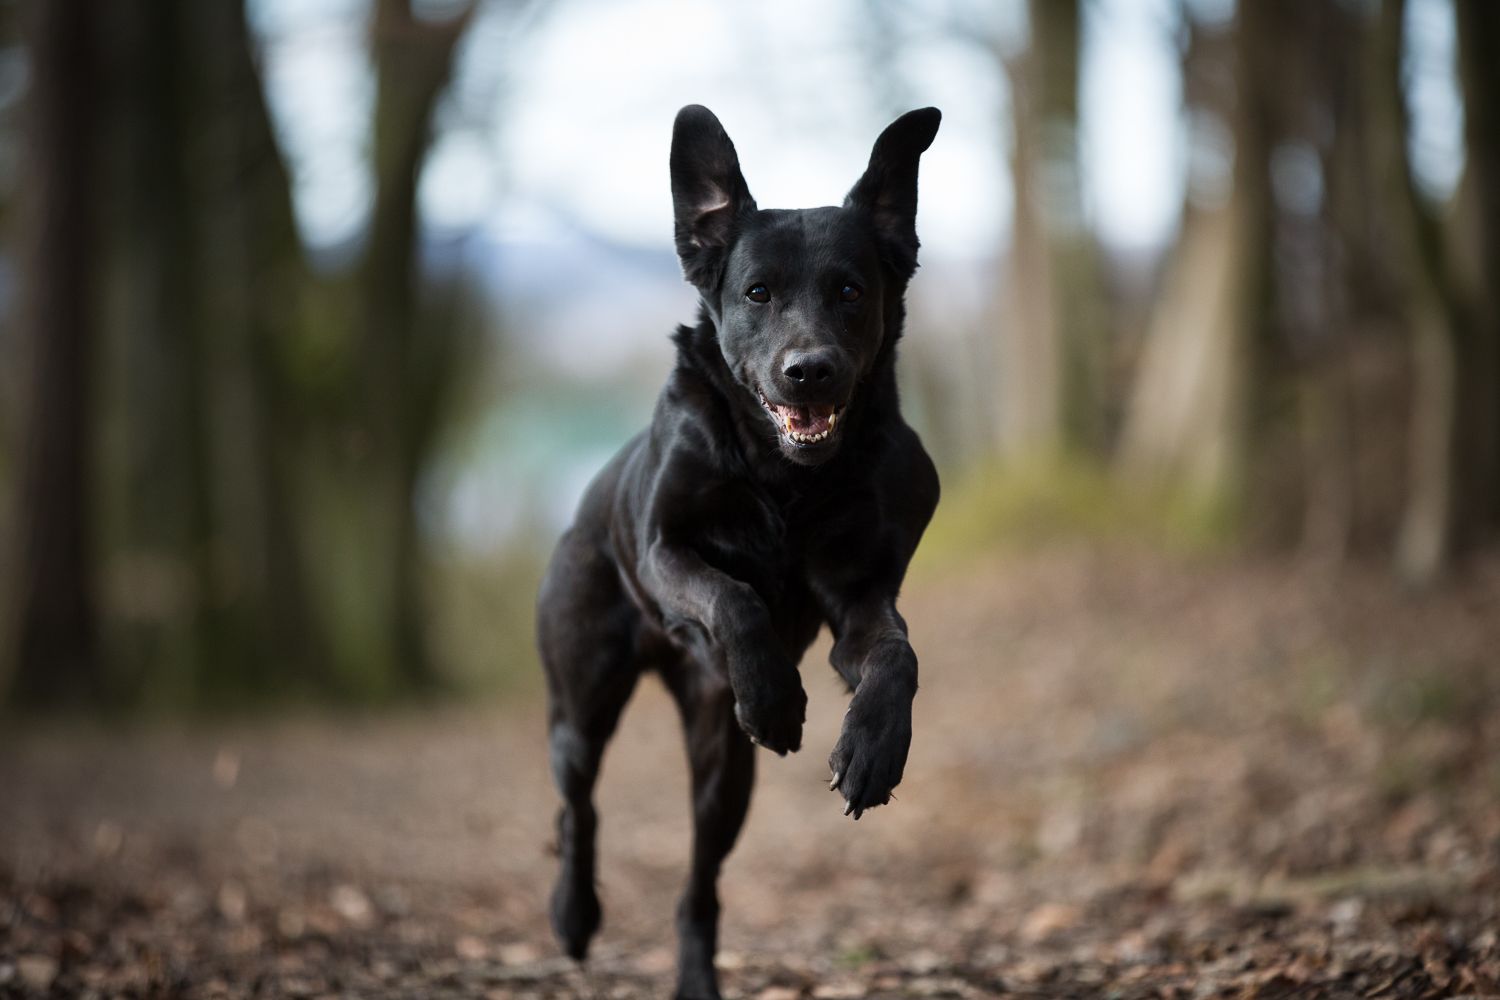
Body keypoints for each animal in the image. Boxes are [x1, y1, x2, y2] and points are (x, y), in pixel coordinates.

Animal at [537, 103, 936, 1000]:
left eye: (850, 290)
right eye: (757, 293)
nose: (809, 371)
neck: (785, 479)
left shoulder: (861, 599)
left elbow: (896, 656)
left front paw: (873, 752)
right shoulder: (664, 553)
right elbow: (734, 595)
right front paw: (773, 693)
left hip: (724, 772)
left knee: (698, 882)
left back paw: (693, 973)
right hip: (580, 702)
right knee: (578, 805)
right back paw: (574, 915)